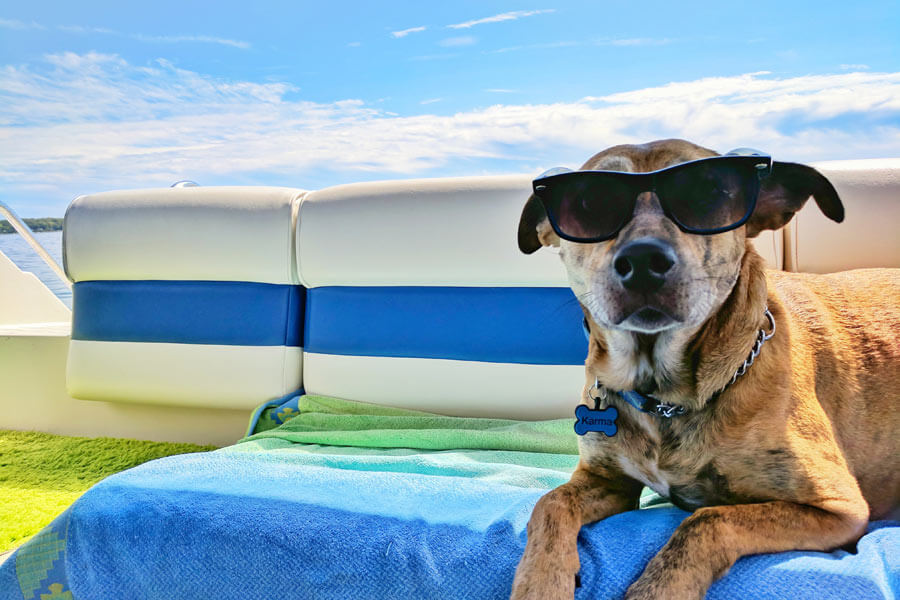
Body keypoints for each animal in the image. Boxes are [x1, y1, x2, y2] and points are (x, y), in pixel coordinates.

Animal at [510, 139, 896, 600]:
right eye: (588, 202)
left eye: (708, 191)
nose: (643, 260)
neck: (662, 395)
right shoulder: (608, 482)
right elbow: (549, 503)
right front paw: (539, 584)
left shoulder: (839, 506)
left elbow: (707, 520)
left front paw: (657, 590)